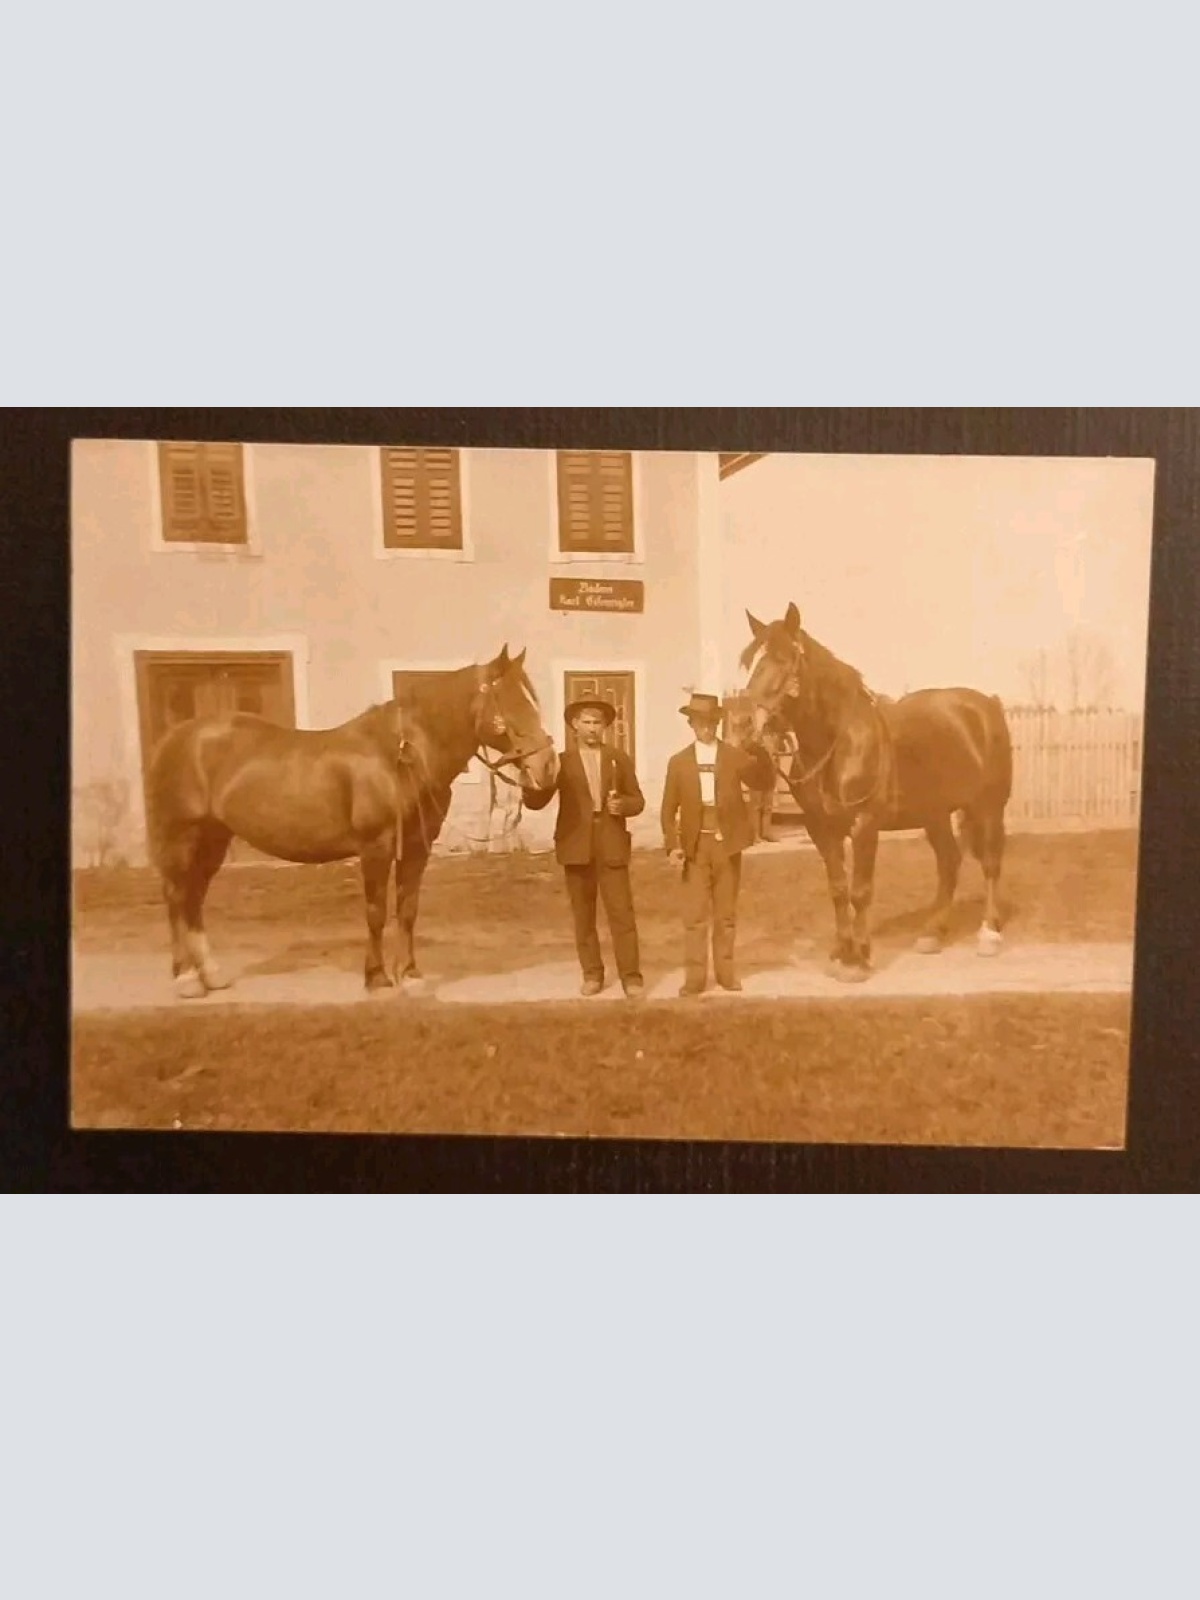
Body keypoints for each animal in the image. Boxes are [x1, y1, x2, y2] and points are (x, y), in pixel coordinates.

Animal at [145, 645, 559, 998]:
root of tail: (176, 736)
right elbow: (376, 912)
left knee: (194, 898)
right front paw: (377, 978)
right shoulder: (375, 846)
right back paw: (186, 978)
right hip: (185, 836)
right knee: (177, 896)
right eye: (513, 702)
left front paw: (410, 976)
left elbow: (407, 910)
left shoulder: (416, 847)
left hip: (214, 838)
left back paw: (211, 975)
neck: (400, 758)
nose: (547, 766)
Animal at [740, 602, 1012, 982]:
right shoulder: (821, 829)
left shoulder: (865, 825)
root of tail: (987, 704)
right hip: (935, 815)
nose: (742, 723)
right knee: (949, 863)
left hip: (988, 807)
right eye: (748, 661)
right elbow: (838, 890)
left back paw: (988, 933)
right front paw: (841, 953)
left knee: (989, 863)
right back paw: (932, 933)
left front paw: (859, 958)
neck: (839, 744)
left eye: (782, 658)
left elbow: (860, 891)